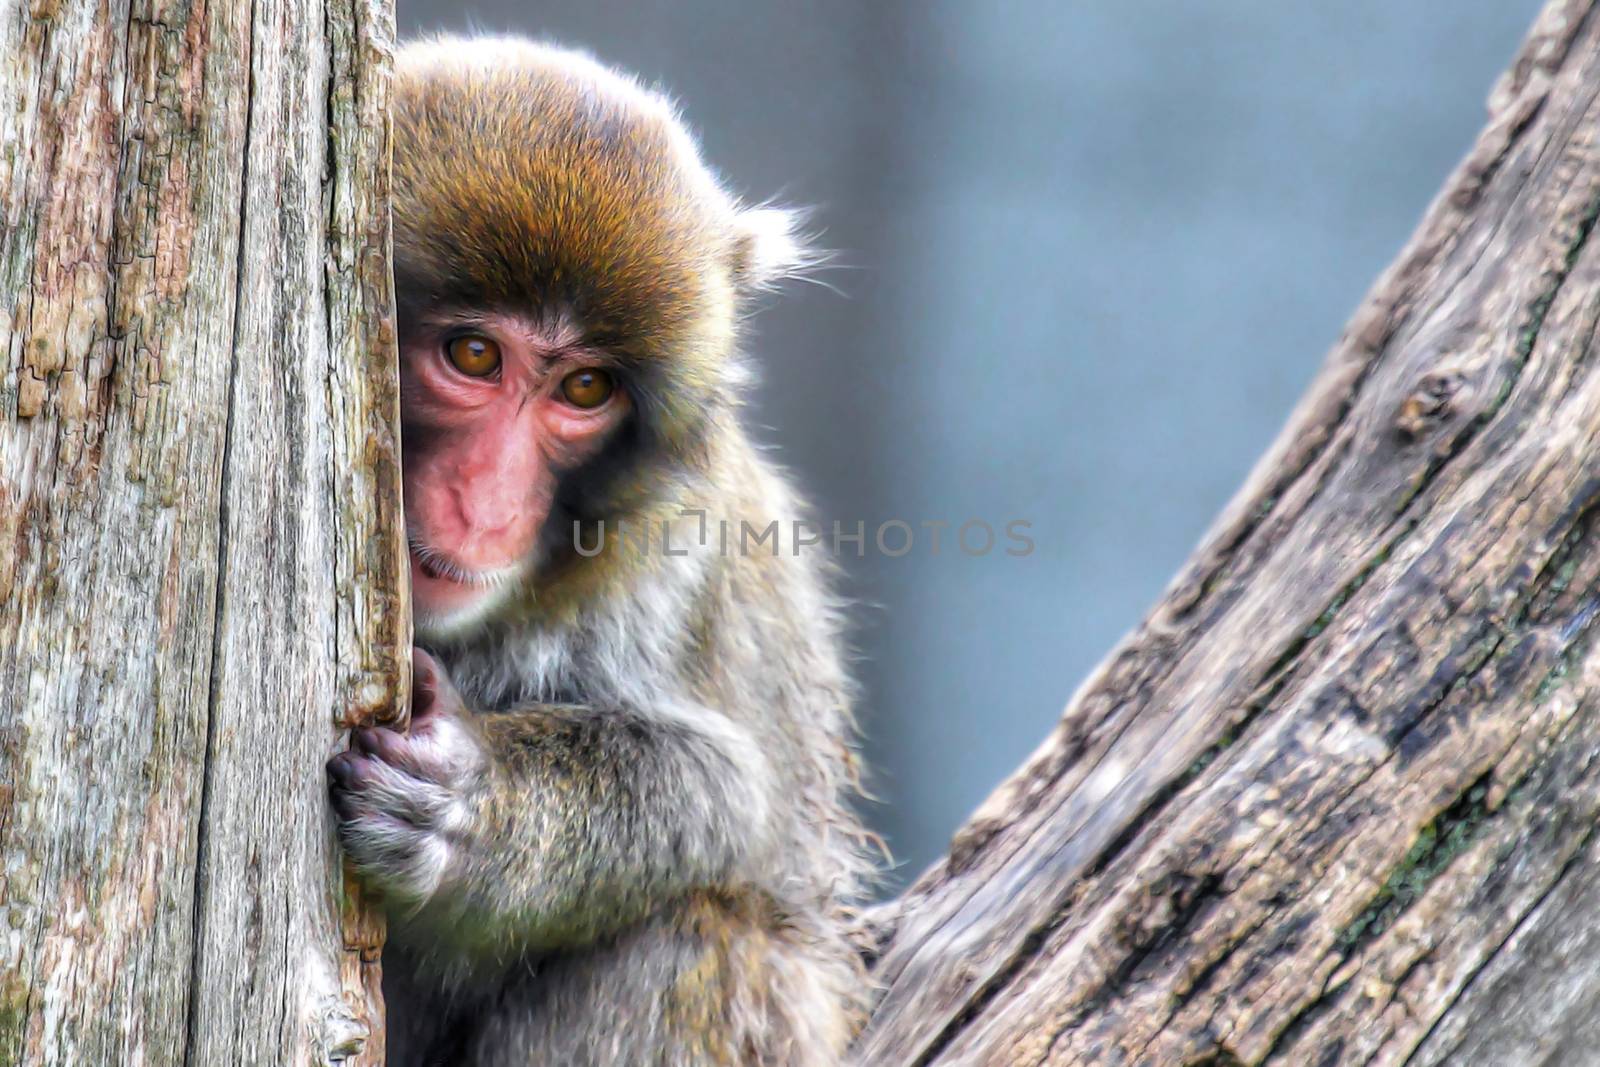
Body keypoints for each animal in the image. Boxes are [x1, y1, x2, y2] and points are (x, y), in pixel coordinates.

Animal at [324, 35, 876, 1067]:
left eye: (585, 388)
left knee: (679, 942)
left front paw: (473, 803)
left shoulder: (673, 552)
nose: (488, 500)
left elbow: (722, 792)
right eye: (472, 356)